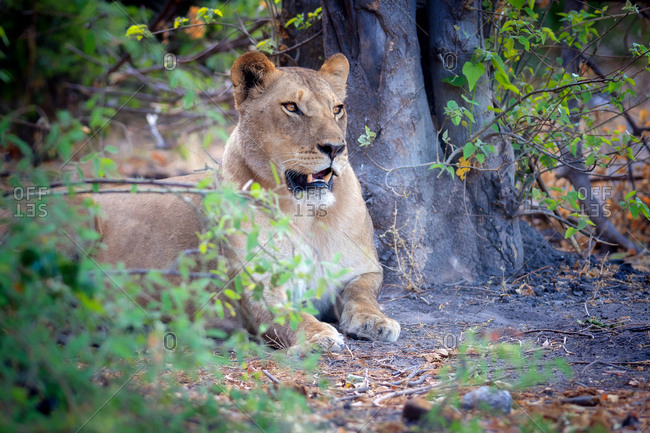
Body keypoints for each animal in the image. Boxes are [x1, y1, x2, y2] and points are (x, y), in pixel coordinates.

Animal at [90, 52, 400, 351]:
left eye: (337, 109)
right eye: (291, 108)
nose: (336, 148)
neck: (305, 213)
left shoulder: (363, 270)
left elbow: (362, 295)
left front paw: (377, 322)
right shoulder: (259, 290)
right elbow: (290, 316)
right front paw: (319, 335)